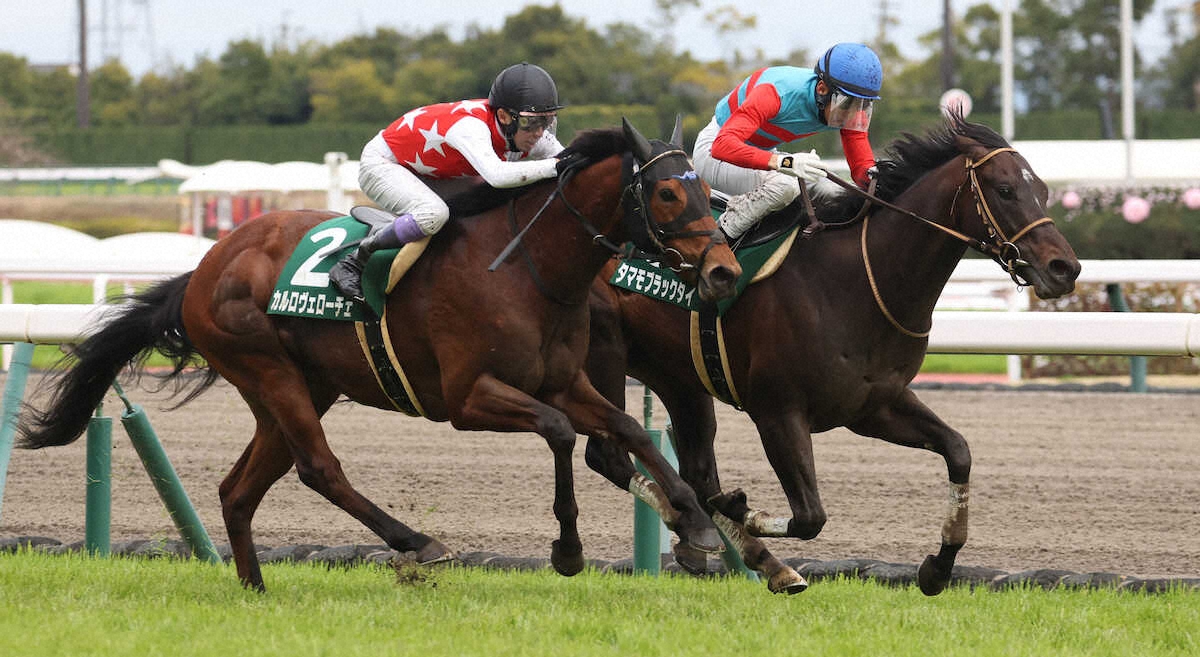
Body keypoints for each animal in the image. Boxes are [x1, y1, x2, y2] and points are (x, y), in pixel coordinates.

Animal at [21, 120, 739, 592]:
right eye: (668, 193)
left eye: (708, 191)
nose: (724, 270)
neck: (527, 268)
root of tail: (205, 266)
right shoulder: (468, 398)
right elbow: (561, 432)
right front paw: (567, 549)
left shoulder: (561, 381)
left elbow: (622, 428)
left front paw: (696, 521)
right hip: (268, 369)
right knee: (320, 468)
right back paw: (417, 542)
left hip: (298, 387)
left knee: (238, 489)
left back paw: (255, 590)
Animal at [585, 116, 1084, 594]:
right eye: (1005, 190)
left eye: (1042, 190)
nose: (1065, 268)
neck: (855, 282)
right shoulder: (778, 411)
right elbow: (810, 516)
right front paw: (739, 509)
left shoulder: (873, 405)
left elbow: (958, 451)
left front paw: (938, 568)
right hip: (605, 355)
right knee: (609, 456)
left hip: (679, 377)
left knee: (696, 467)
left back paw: (732, 551)